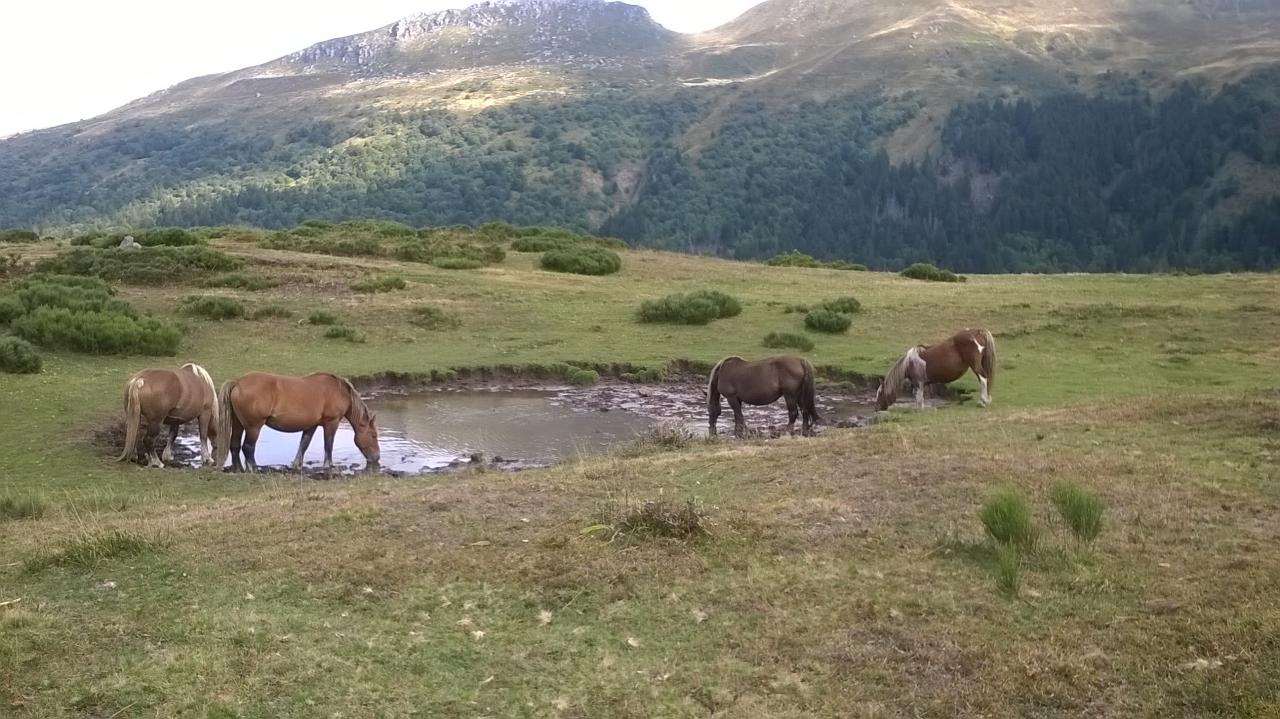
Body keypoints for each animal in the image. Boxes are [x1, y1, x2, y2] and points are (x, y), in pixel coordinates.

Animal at [209, 371, 376, 473]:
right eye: (374, 436)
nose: (377, 458)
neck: (338, 391)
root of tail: (238, 382)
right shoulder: (331, 423)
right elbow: (328, 445)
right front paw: (329, 465)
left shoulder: (311, 426)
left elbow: (304, 444)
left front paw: (297, 465)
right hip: (254, 427)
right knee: (248, 447)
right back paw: (253, 468)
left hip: (238, 424)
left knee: (235, 445)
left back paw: (238, 469)